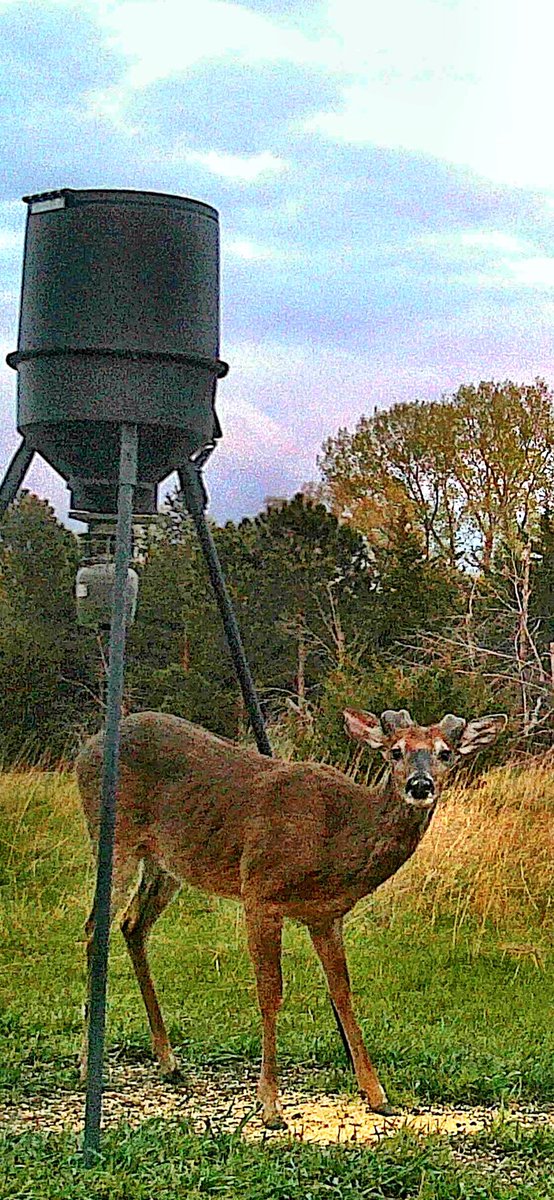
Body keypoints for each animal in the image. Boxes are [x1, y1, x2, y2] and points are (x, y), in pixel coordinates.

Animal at [76, 705, 507, 1127]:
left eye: (446, 753)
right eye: (395, 751)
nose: (420, 786)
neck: (336, 838)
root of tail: (86, 748)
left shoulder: (325, 916)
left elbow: (342, 992)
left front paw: (377, 1095)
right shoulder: (260, 892)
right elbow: (271, 993)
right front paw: (270, 1106)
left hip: (166, 863)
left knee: (132, 925)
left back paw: (170, 1063)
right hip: (114, 839)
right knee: (95, 928)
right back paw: (86, 1065)